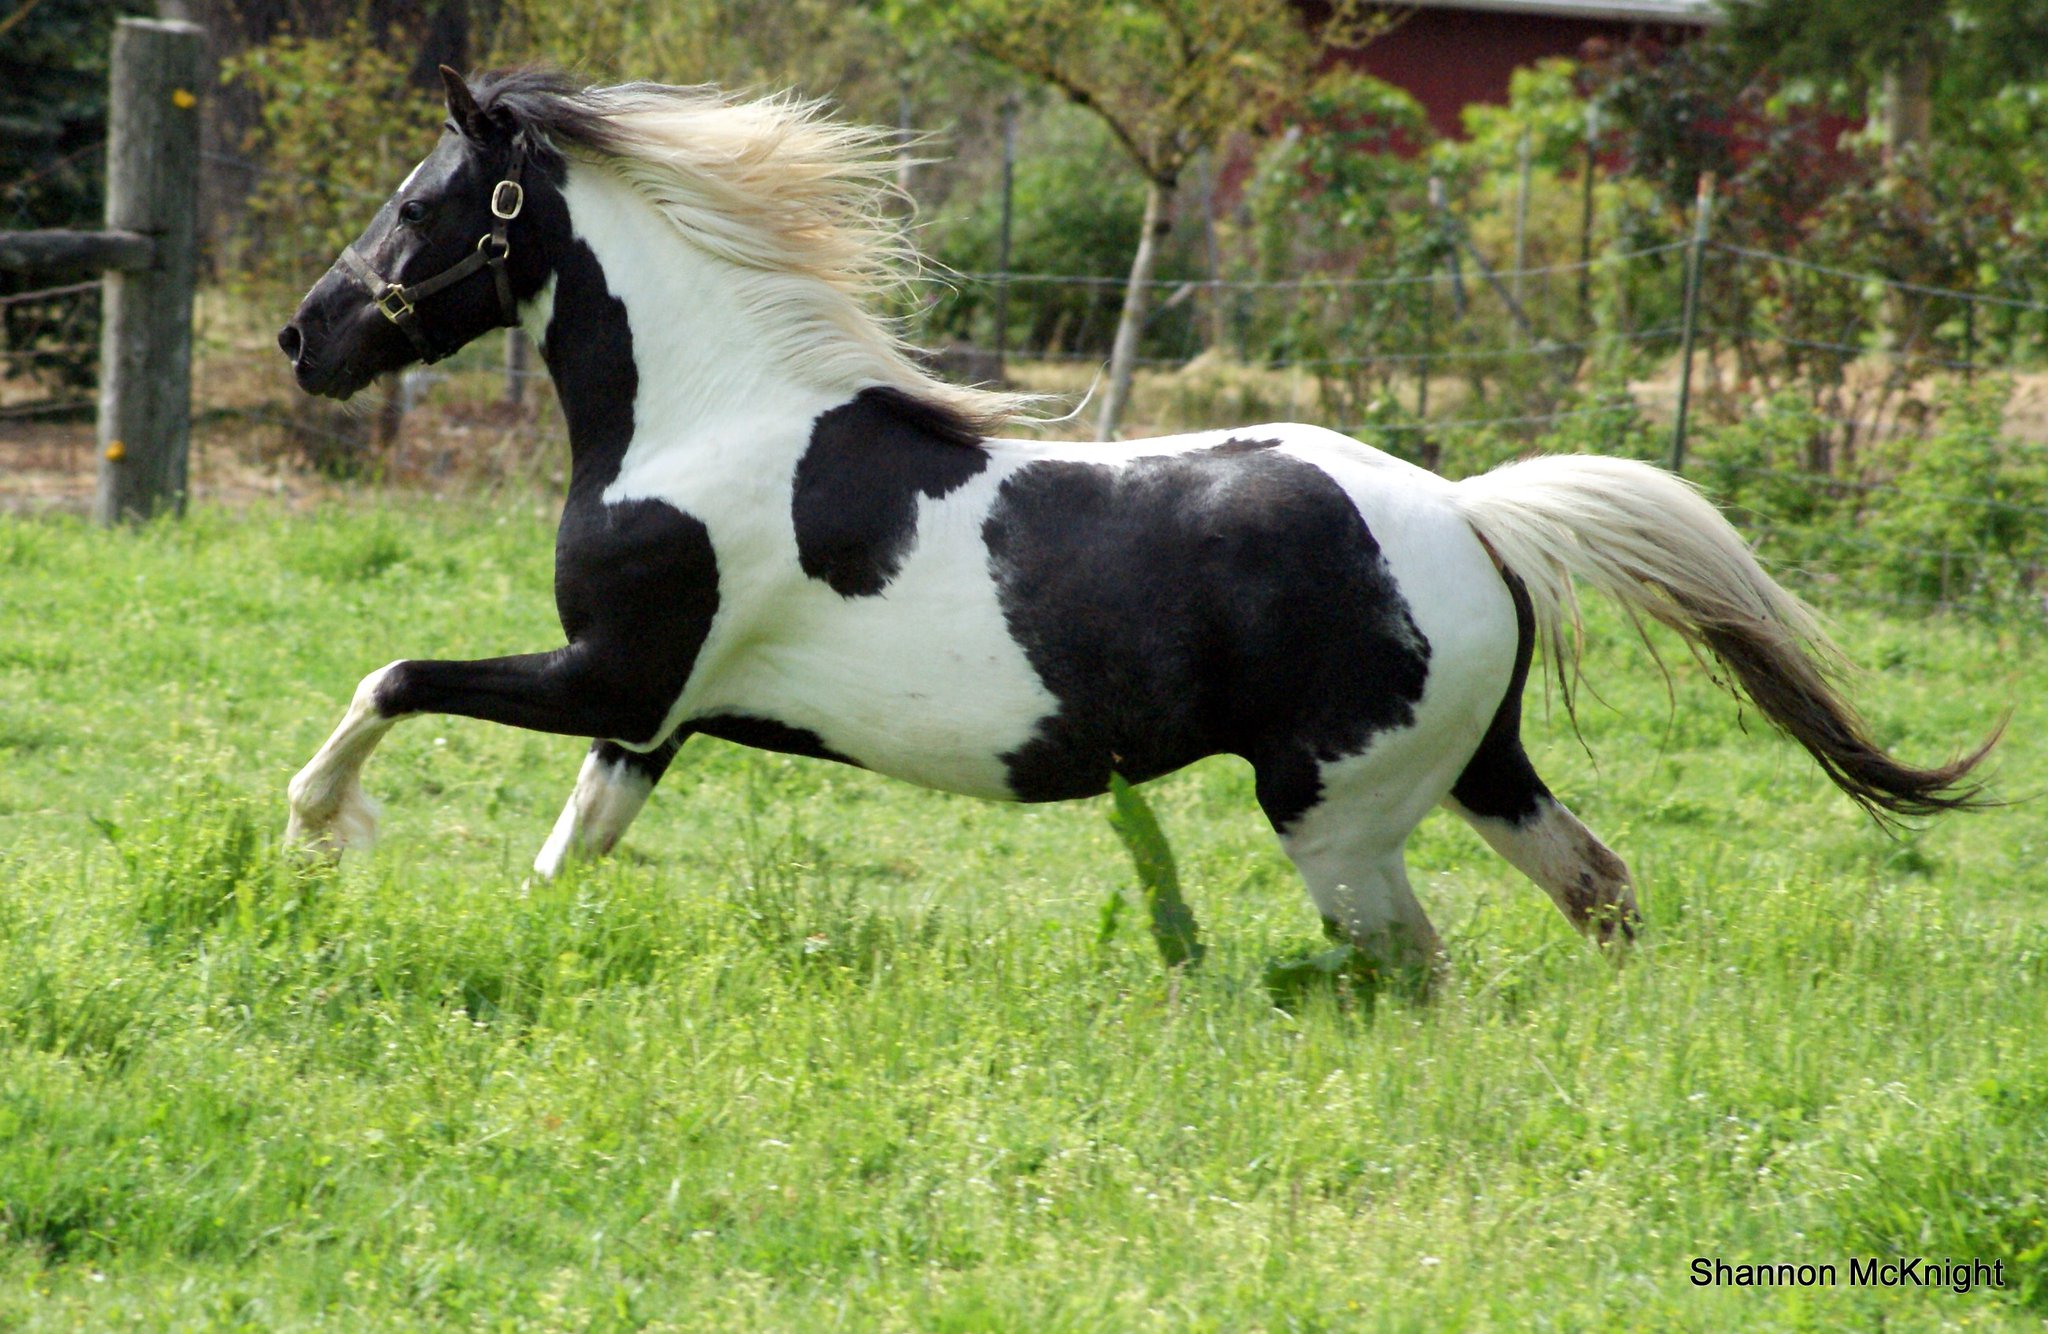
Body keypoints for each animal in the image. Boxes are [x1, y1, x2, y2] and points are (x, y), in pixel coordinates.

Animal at [276, 67, 1982, 975]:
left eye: (422, 202)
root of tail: (1473, 517)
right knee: (1602, 890)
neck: (706, 416)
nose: (309, 340)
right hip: (1476, 773)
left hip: (1333, 813)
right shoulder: (649, 718)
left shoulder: (611, 675)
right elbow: (567, 850)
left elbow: (391, 677)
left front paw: (312, 828)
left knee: (1418, 965)